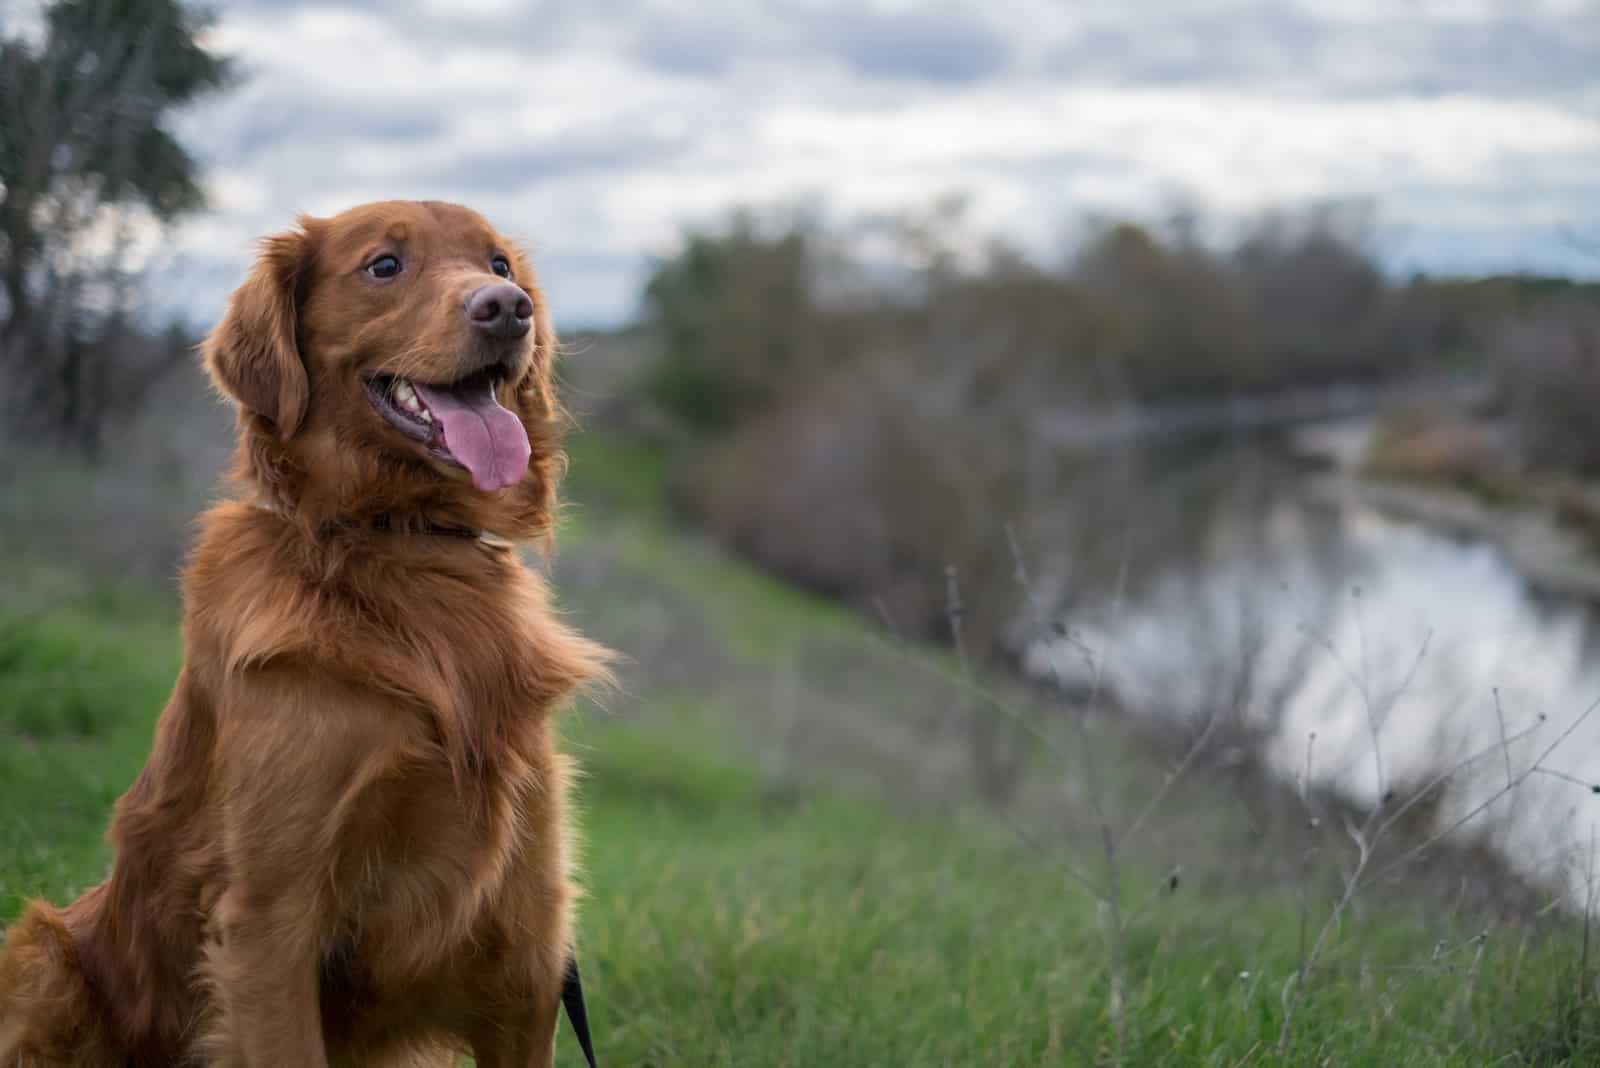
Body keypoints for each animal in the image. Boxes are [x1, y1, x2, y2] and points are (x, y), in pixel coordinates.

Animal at [0, 202, 611, 1068]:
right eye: (384, 266)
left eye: (499, 264)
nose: (507, 308)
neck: (400, 548)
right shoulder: (270, 917)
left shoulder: (528, 942)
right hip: (40, 951)